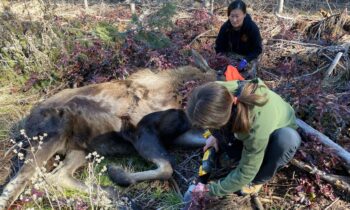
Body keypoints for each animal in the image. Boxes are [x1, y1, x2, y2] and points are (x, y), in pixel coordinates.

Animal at [0, 50, 217, 208]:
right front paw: (117, 173)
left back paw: (113, 195)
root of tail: (25, 124)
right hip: (48, 138)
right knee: (17, 182)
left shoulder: (176, 136)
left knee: (57, 176)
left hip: (81, 149)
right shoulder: (141, 131)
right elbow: (166, 169)